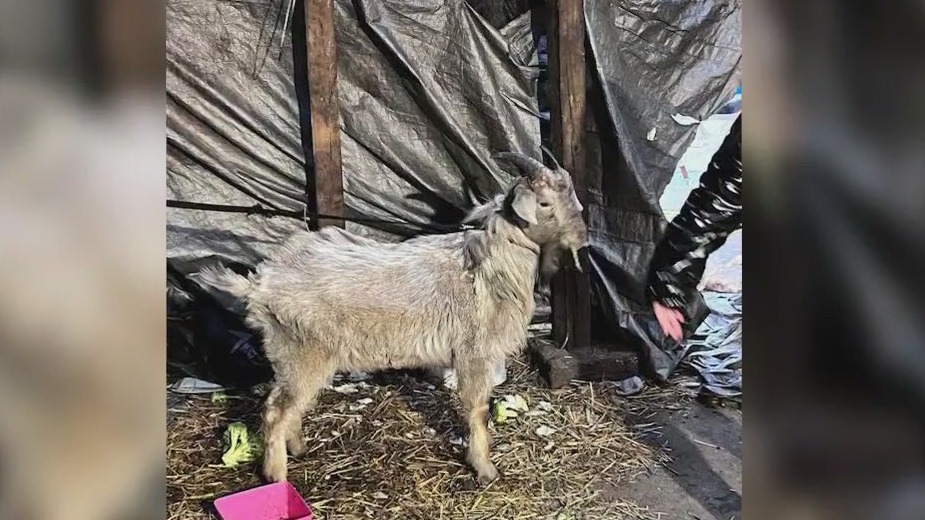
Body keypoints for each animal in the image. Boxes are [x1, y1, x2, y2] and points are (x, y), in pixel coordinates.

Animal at [196, 152, 588, 485]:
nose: (582, 238)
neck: (489, 268)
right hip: (301, 352)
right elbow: (477, 410)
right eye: (543, 203)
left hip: (296, 357)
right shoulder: (474, 352)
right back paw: (277, 476)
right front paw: (485, 468)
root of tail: (260, 283)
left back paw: (299, 448)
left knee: (288, 405)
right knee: (275, 412)